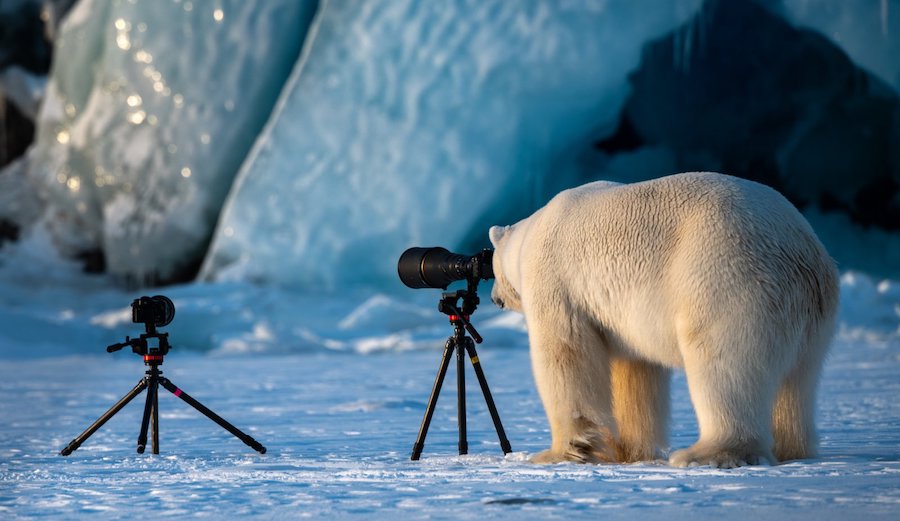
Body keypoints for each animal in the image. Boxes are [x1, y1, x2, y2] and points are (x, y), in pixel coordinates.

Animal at [488, 172, 839, 468]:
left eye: (491, 268)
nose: (494, 298)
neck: (531, 234)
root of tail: (801, 251)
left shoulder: (556, 282)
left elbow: (566, 355)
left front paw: (560, 453)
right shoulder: (622, 317)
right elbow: (635, 371)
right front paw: (629, 451)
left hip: (727, 279)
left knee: (724, 366)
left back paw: (705, 453)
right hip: (811, 316)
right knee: (798, 381)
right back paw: (792, 449)